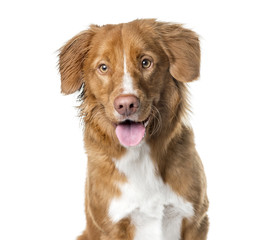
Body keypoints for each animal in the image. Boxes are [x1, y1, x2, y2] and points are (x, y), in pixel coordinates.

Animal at [58, 18, 209, 240]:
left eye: (145, 62)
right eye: (103, 67)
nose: (126, 104)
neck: (140, 155)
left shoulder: (195, 221)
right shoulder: (111, 227)